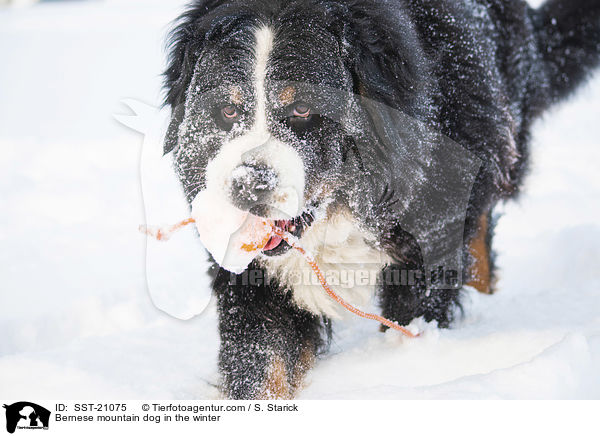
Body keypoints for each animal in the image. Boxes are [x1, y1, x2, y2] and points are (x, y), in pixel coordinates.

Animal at [161, 0, 600, 398]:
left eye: (302, 108)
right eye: (228, 110)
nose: (246, 185)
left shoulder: (431, 235)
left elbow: (414, 322)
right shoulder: (252, 276)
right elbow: (260, 363)